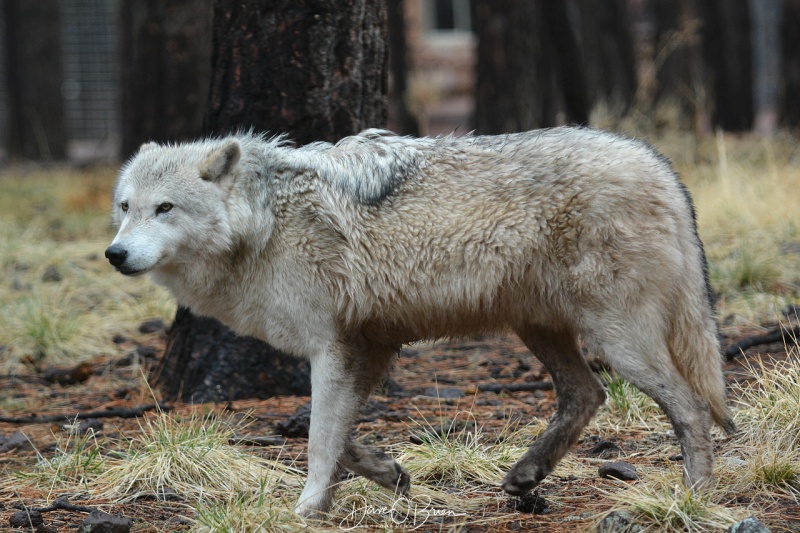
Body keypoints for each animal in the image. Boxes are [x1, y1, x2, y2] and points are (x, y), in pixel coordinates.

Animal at [106, 127, 732, 516]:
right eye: (125, 208)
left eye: (165, 209)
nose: (115, 254)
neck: (265, 222)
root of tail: (659, 164)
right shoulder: (367, 347)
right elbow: (337, 436)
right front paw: (388, 474)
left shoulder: (333, 349)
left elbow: (318, 439)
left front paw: (307, 507)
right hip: (541, 330)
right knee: (588, 394)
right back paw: (526, 475)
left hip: (618, 340)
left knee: (689, 406)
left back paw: (694, 497)